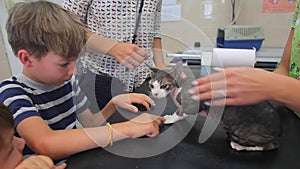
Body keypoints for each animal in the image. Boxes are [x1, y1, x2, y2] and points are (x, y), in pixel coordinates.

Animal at [147, 61, 284, 151]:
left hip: (246, 130)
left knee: (272, 145)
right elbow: (183, 112)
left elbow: (180, 111)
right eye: (151, 85)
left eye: (164, 86)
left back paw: (240, 145)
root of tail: (279, 129)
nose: (155, 93)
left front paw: (170, 118)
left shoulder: (193, 104)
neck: (178, 88)